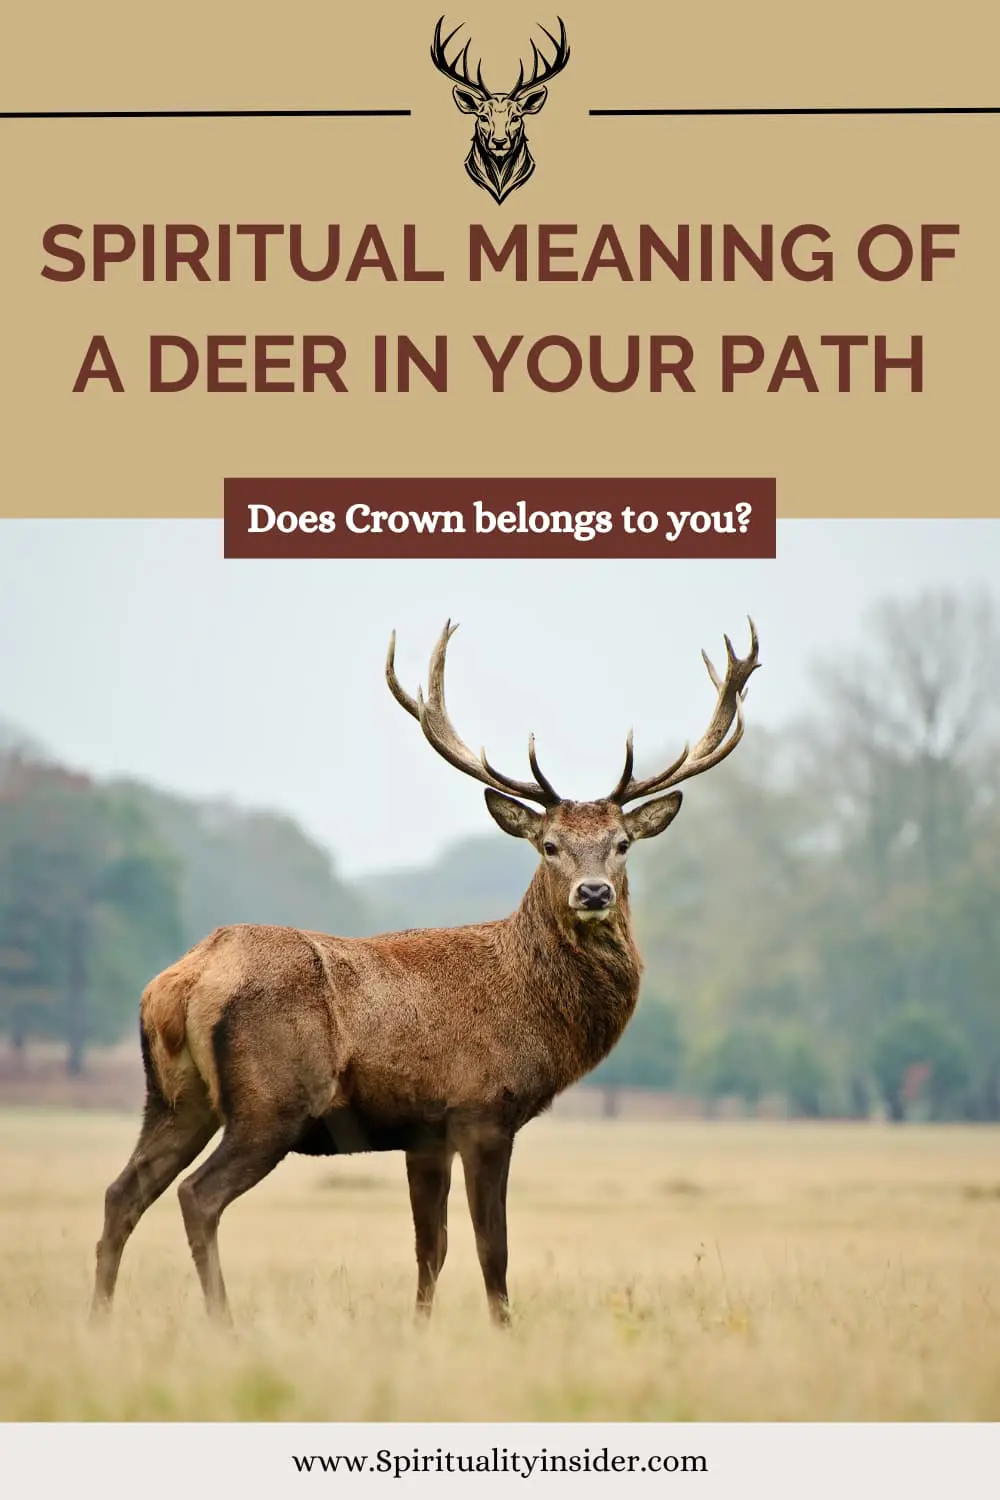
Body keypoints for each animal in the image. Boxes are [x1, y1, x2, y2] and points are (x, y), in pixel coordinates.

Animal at [91, 619, 759, 1328]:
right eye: (549, 845)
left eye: (622, 844)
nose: (594, 892)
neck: (535, 1008)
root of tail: (180, 982)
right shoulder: (483, 1109)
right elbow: (492, 1248)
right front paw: (503, 1330)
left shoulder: (424, 1132)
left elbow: (429, 1250)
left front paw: (419, 1329)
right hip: (271, 1101)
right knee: (198, 1196)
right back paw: (223, 1324)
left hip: (174, 1098)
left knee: (121, 1193)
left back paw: (98, 1320)